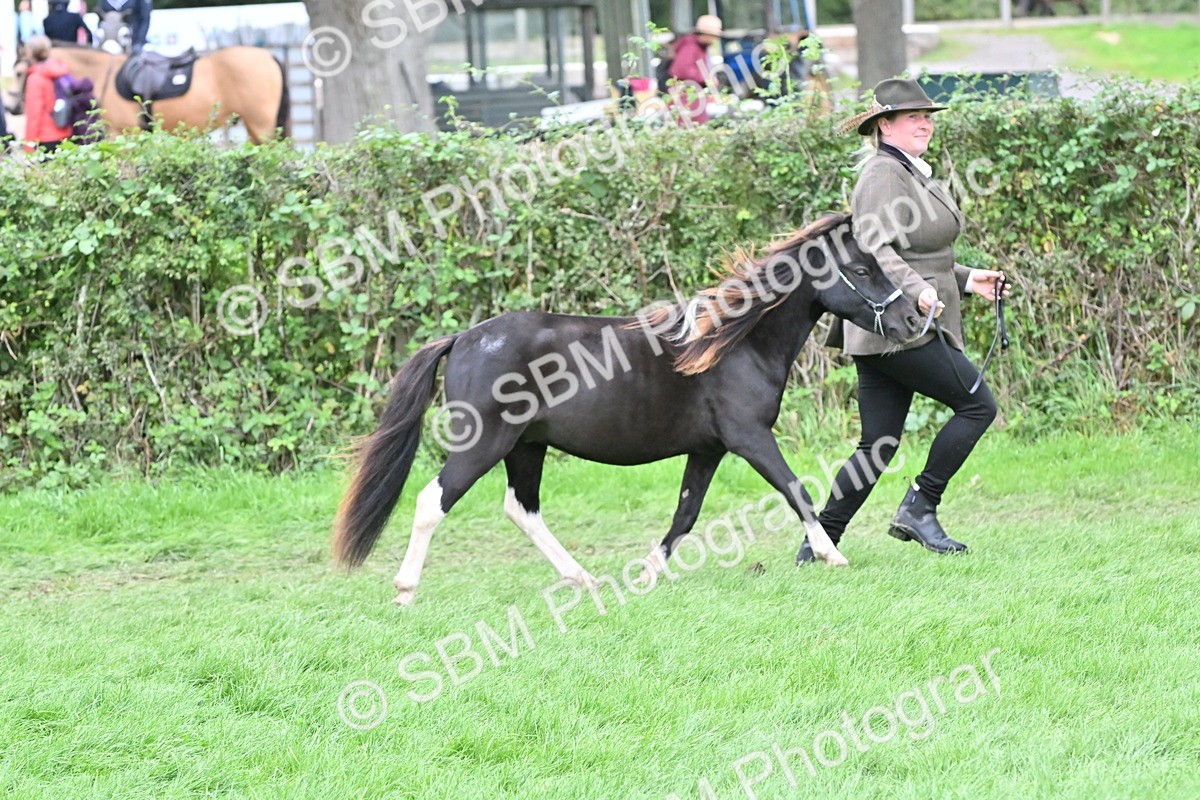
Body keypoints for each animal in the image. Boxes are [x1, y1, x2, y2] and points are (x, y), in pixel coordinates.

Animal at [9, 44, 289, 143]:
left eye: (21, 72)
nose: (12, 107)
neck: (104, 73)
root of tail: (268, 56)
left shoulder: (122, 133)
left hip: (262, 126)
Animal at [332, 213, 923, 605]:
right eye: (862, 269)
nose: (914, 320)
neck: (735, 343)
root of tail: (463, 339)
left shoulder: (708, 450)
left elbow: (686, 513)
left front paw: (646, 574)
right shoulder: (749, 437)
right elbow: (794, 488)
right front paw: (831, 554)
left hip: (527, 446)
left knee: (521, 509)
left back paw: (583, 580)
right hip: (485, 444)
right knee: (433, 501)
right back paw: (405, 590)